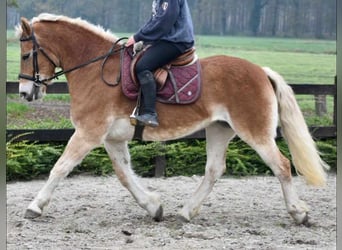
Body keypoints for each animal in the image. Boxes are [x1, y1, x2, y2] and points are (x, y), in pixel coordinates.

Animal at [16, 13, 328, 225]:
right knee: (214, 169)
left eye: (27, 54)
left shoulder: (87, 133)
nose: (24, 92)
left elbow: (60, 167)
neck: (95, 69)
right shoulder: (112, 139)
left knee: (282, 165)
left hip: (255, 132)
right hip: (219, 130)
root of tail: (261, 71)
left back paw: (298, 213)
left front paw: (35, 206)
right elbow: (124, 175)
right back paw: (187, 212)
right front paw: (153, 206)